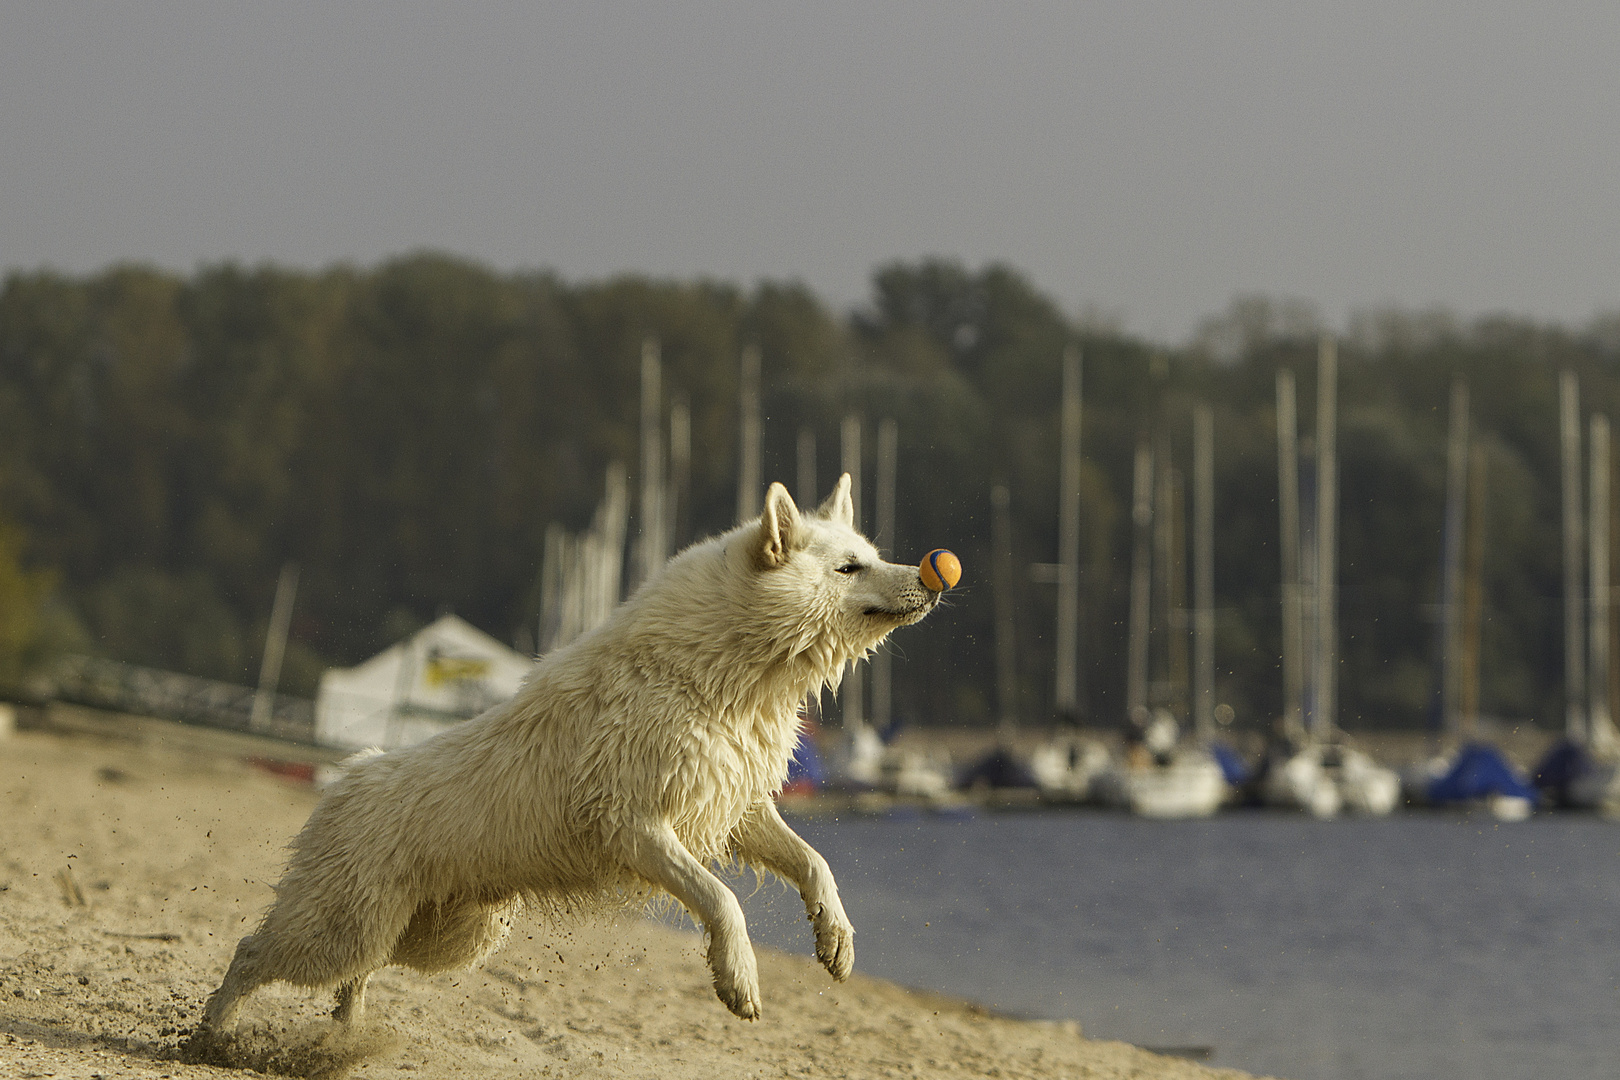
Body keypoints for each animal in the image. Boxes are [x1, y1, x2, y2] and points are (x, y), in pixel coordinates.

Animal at [189, 476, 946, 1036]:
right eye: (849, 567)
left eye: (872, 552)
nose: (933, 576)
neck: (715, 674)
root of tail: (349, 773)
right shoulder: (633, 826)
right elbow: (721, 898)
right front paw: (738, 978)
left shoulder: (731, 805)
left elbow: (814, 862)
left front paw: (835, 938)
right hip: (343, 927)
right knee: (254, 953)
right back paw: (213, 1035)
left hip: (439, 936)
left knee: (357, 974)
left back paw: (345, 1036)